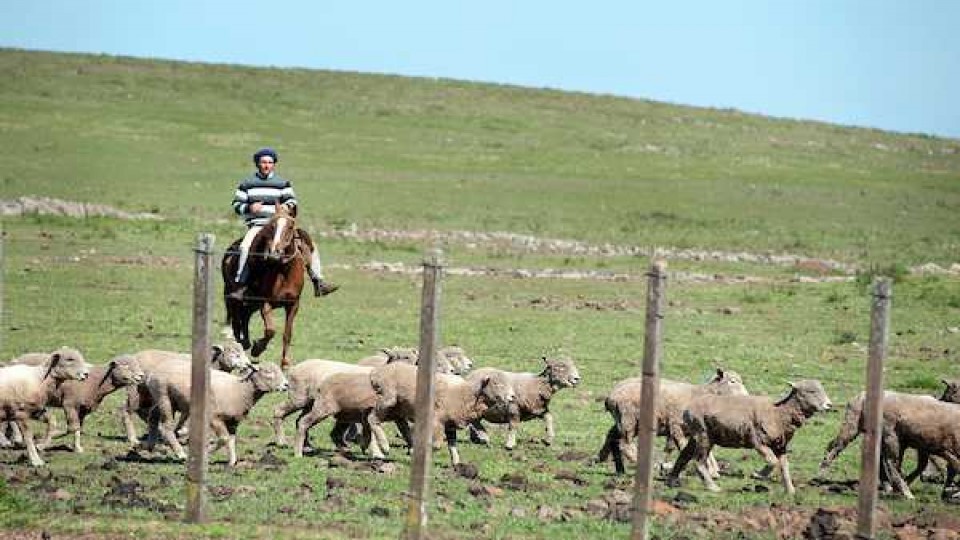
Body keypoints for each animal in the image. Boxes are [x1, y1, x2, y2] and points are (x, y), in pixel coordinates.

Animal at [146, 360, 288, 466]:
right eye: (268, 372)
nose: (286, 385)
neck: (240, 389)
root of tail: (152, 373)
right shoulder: (214, 417)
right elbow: (224, 438)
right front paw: (206, 453)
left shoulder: (233, 421)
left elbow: (231, 440)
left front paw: (232, 462)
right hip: (164, 397)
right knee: (166, 427)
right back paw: (181, 454)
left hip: (163, 399)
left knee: (152, 417)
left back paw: (149, 445)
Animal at [222, 205, 314, 370]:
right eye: (272, 226)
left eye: (290, 226)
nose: (274, 253)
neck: (283, 271)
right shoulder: (265, 303)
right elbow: (270, 330)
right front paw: (258, 348)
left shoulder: (293, 305)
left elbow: (287, 334)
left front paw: (285, 363)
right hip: (233, 299)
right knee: (236, 323)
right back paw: (242, 345)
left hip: (251, 303)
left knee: (245, 317)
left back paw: (246, 342)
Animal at [370, 360, 516, 466]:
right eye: (496, 384)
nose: (513, 396)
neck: (465, 393)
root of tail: (378, 373)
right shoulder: (436, 420)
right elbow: (437, 445)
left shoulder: (450, 424)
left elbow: (452, 445)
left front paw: (456, 464)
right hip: (388, 400)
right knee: (372, 418)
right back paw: (385, 446)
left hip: (398, 407)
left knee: (401, 425)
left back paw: (405, 447)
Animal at [668, 380, 832, 494]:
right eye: (811, 391)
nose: (829, 405)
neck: (778, 413)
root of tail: (687, 409)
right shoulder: (758, 441)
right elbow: (773, 462)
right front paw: (758, 475)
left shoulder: (780, 446)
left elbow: (784, 466)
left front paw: (790, 490)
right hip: (704, 435)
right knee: (699, 461)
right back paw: (712, 487)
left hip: (697, 436)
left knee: (684, 456)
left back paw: (673, 480)